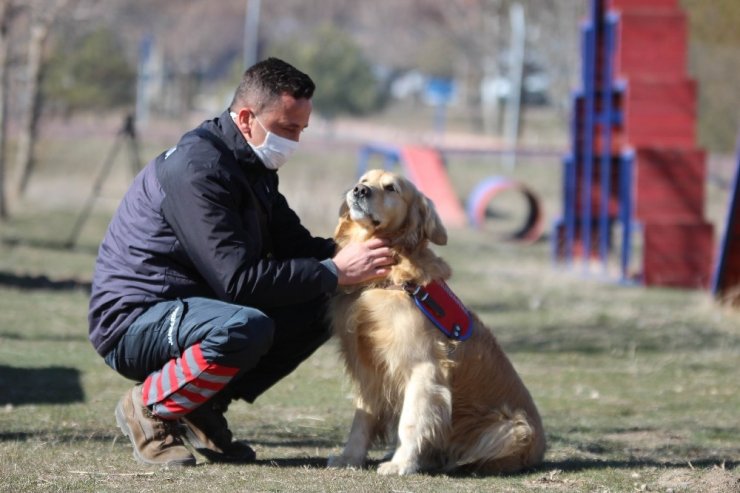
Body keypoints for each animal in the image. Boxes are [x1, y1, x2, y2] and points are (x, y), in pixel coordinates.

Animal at [326, 168, 548, 472]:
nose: (359, 190)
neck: (391, 277)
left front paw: (400, 464)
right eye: (364, 180)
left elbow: (410, 422)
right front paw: (350, 458)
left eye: (391, 188)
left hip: (512, 428)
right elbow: (362, 420)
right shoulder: (368, 370)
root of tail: (541, 449)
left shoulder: (424, 368)